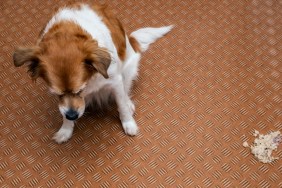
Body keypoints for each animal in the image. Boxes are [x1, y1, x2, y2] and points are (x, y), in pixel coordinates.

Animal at [12, 2, 172, 144]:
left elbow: (121, 105)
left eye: (80, 90)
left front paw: (128, 123)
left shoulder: (115, 81)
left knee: (126, 90)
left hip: (129, 69)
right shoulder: (64, 103)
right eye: (57, 94)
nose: (72, 116)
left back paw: (129, 103)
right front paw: (65, 130)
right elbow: (63, 111)